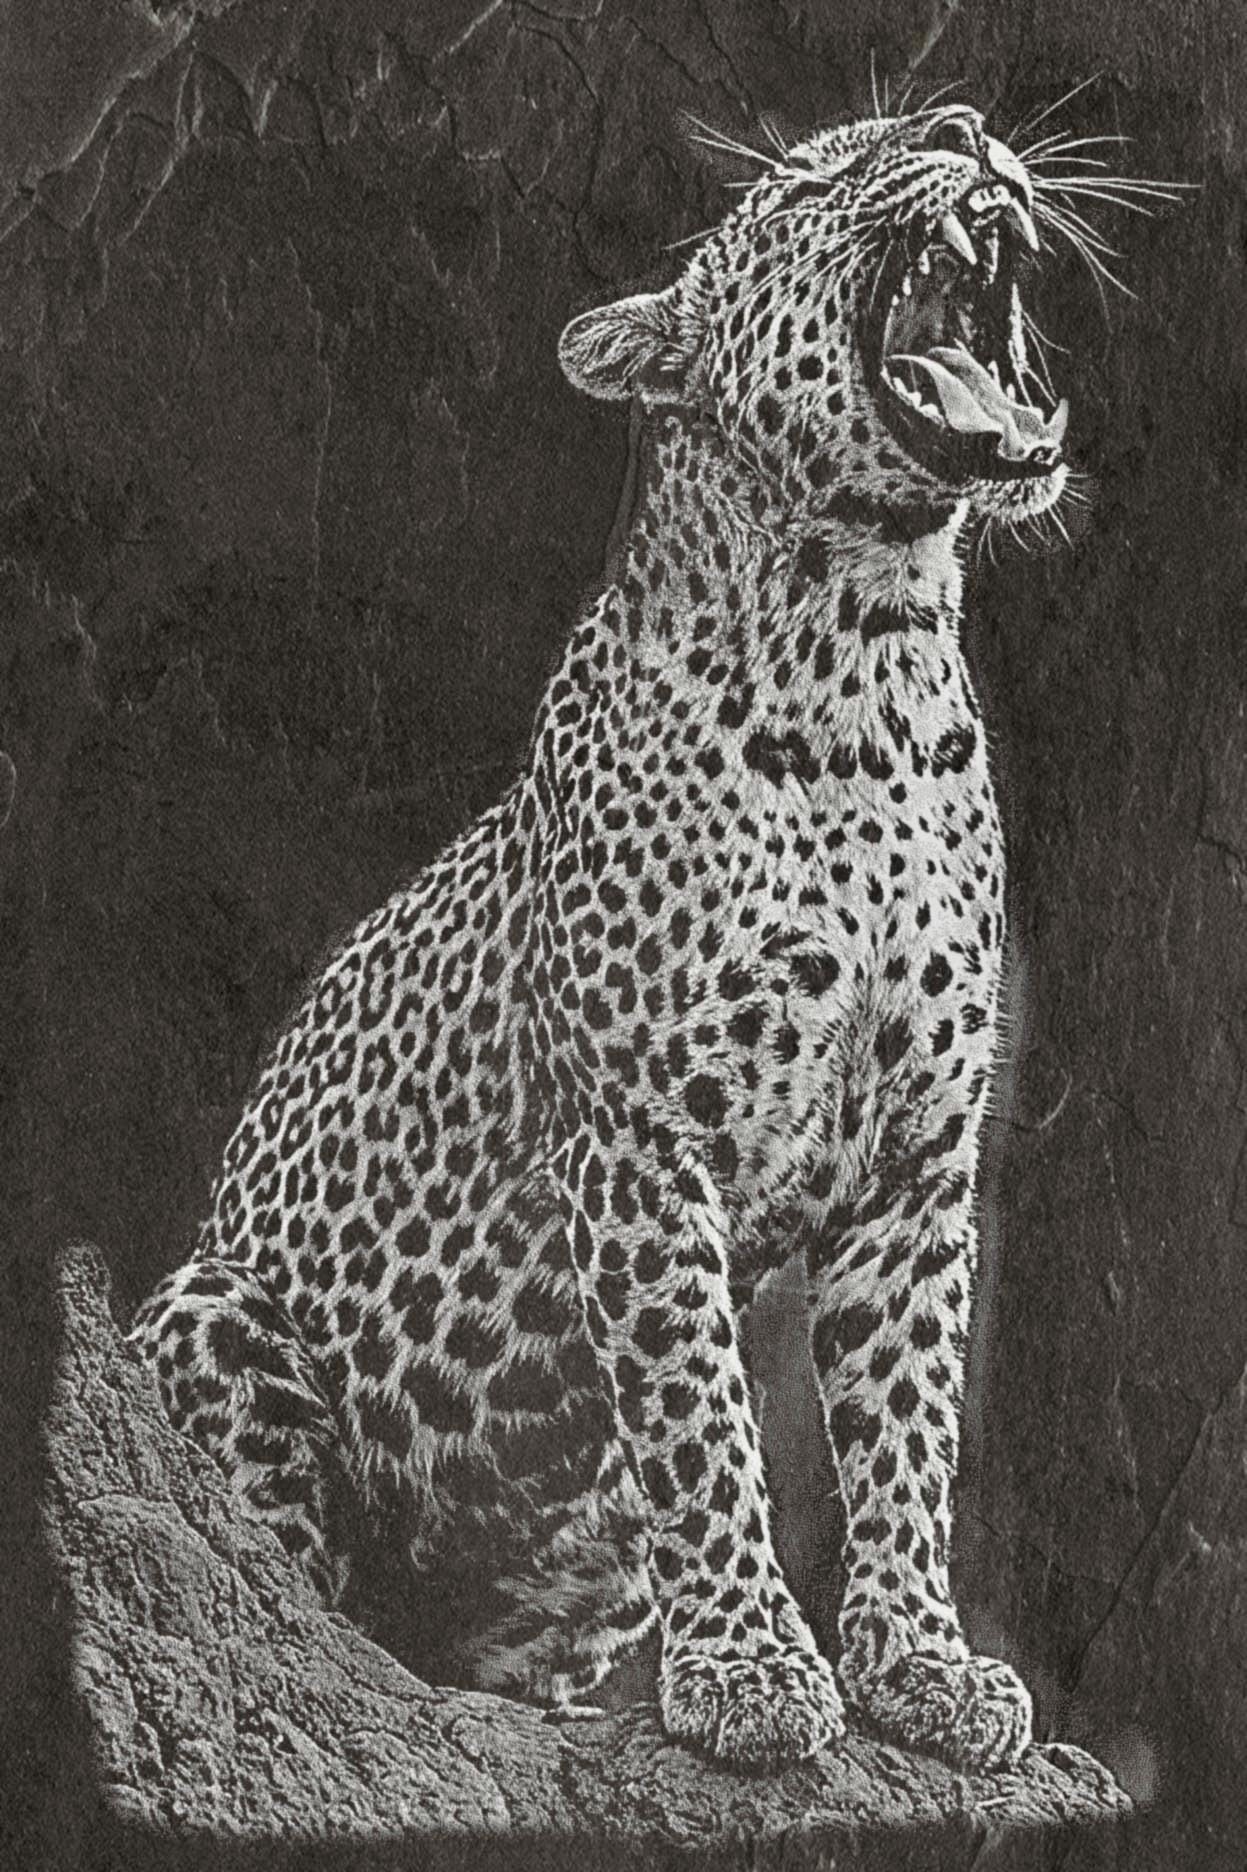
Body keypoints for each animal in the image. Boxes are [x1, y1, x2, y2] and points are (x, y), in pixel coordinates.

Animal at [131, 100, 1075, 1774]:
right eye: (819, 172)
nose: (966, 128)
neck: (876, 670)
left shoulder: (915, 1158)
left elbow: (907, 1425)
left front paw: (921, 1667)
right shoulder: (642, 1139)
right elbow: (702, 1424)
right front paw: (753, 1674)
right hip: (210, 1315)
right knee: (289, 1584)